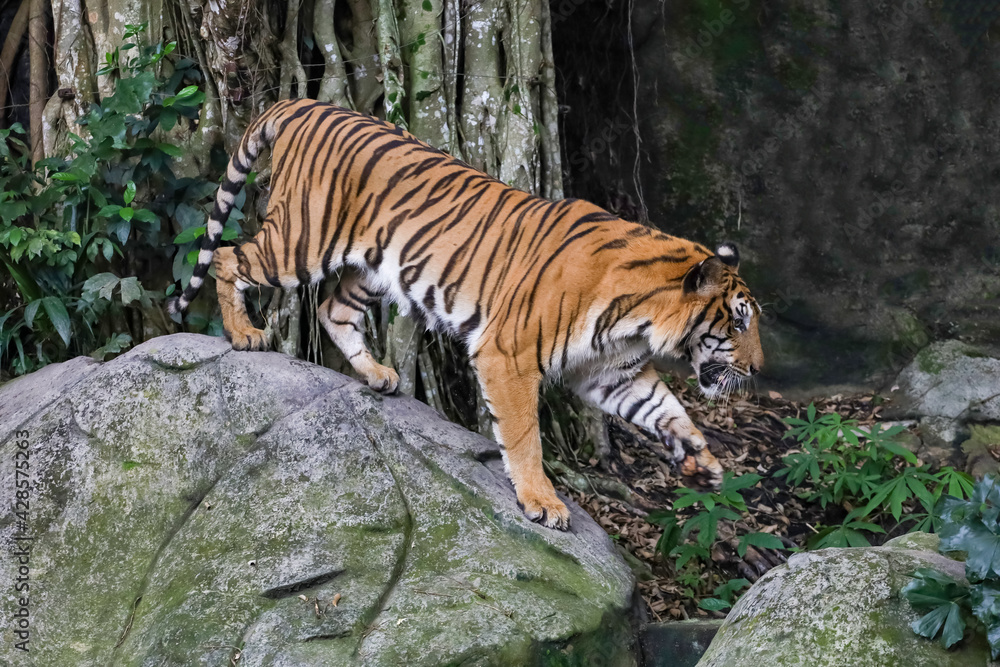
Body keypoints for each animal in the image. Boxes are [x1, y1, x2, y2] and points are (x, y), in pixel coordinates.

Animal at [168, 99, 764, 530]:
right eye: (738, 322)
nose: (758, 370)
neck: (636, 320)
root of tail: (305, 103)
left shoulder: (611, 371)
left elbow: (665, 408)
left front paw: (702, 461)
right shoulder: (510, 355)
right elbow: (524, 436)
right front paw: (542, 502)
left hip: (372, 268)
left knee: (331, 307)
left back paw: (377, 374)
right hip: (299, 240)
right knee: (228, 257)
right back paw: (244, 334)